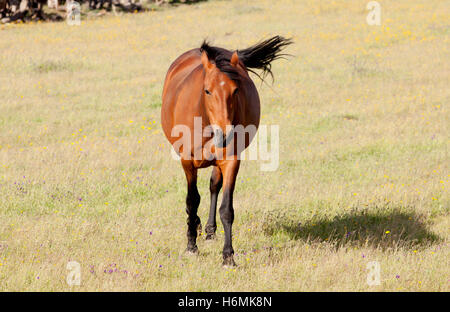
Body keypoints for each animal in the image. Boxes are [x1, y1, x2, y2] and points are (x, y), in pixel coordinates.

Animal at [161, 36, 292, 266]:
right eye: (207, 90)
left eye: (235, 90)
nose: (225, 134)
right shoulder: (187, 161)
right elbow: (192, 200)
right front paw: (191, 246)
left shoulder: (231, 161)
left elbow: (226, 209)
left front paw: (228, 256)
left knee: (214, 185)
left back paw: (210, 230)